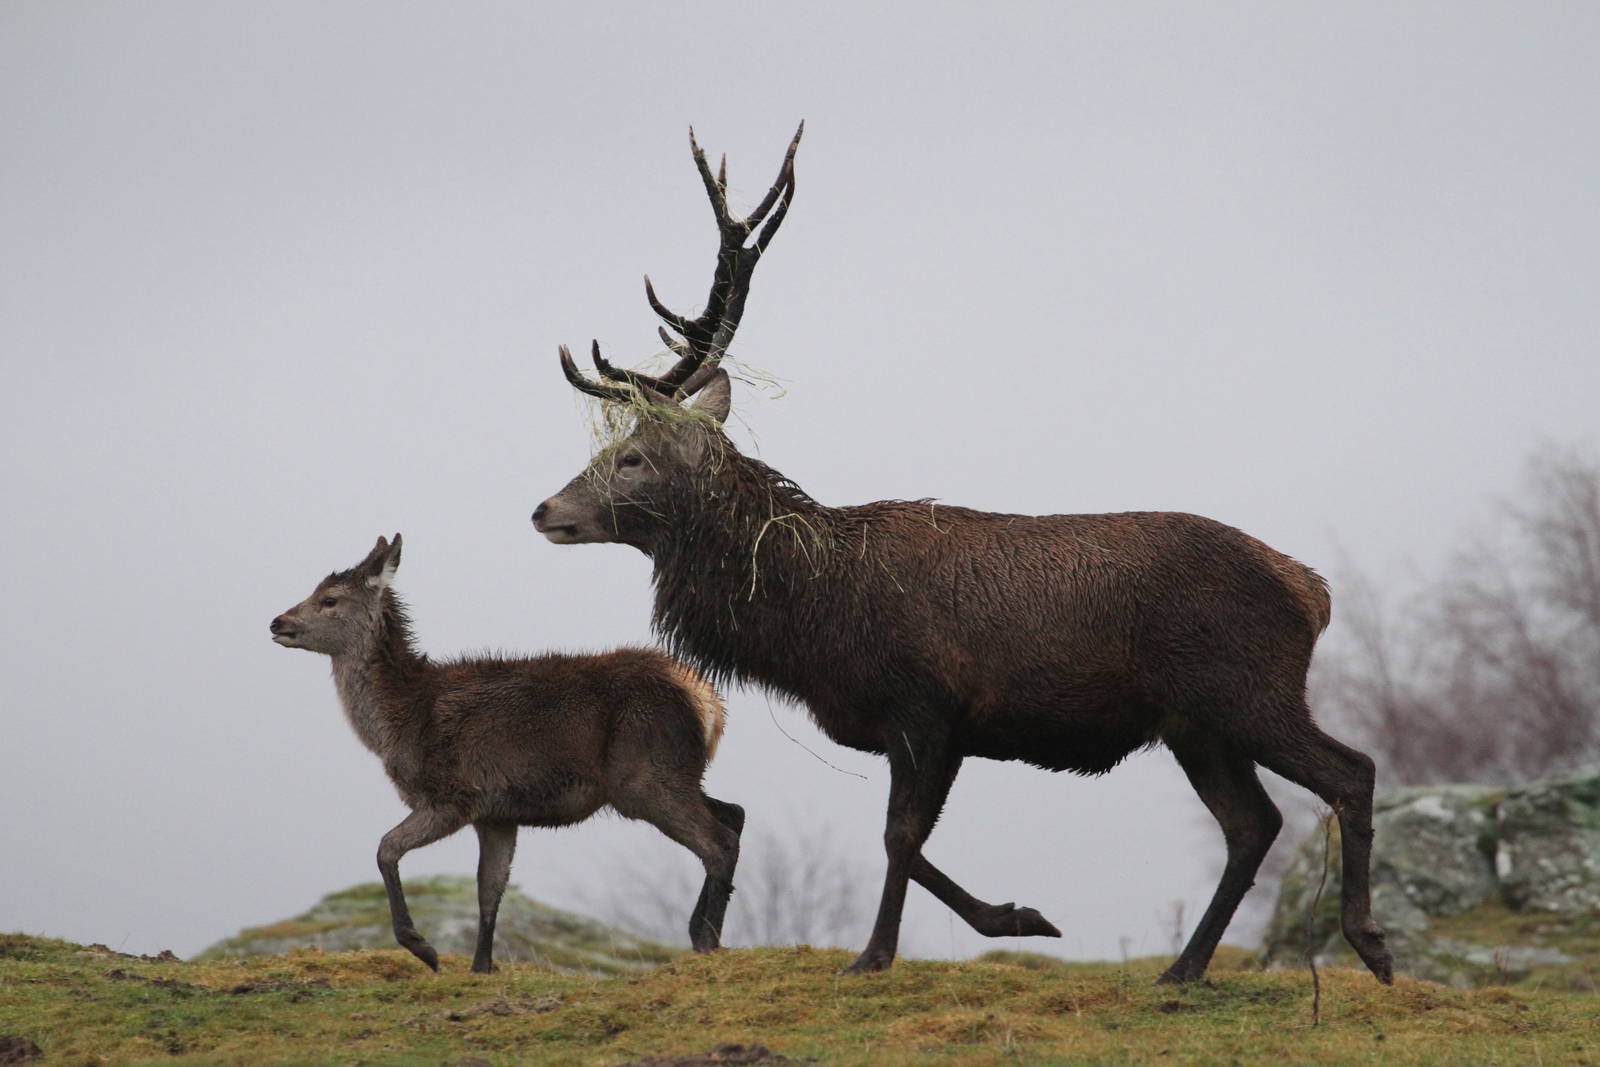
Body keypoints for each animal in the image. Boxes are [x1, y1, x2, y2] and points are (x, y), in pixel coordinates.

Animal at [269, 533, 742, 974]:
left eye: (329, 599)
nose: (277, 622)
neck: (400, 719)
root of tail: (709, 702)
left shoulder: (454, 795)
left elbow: (386, 849)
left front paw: (424, 948)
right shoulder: (497, 813)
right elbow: (489, 890)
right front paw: (481, 967)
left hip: (643, 777)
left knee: (717, 841)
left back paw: (705, 939)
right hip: (673, 773)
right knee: (734, 814)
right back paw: (702, 930)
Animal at [531, 125, 1394, 985]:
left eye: (632, 456)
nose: (545, 509)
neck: (814, 626)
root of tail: (1313, 592)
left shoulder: (925, 704)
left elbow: (899, 837)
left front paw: (876, 954)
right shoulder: (925, 725)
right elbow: (911, 845)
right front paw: (1020, 916)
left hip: (1246, 690)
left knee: (1350, 771)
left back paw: (1368, 941)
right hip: (1195, 724)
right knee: (1253, 822)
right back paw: (1183, 967)